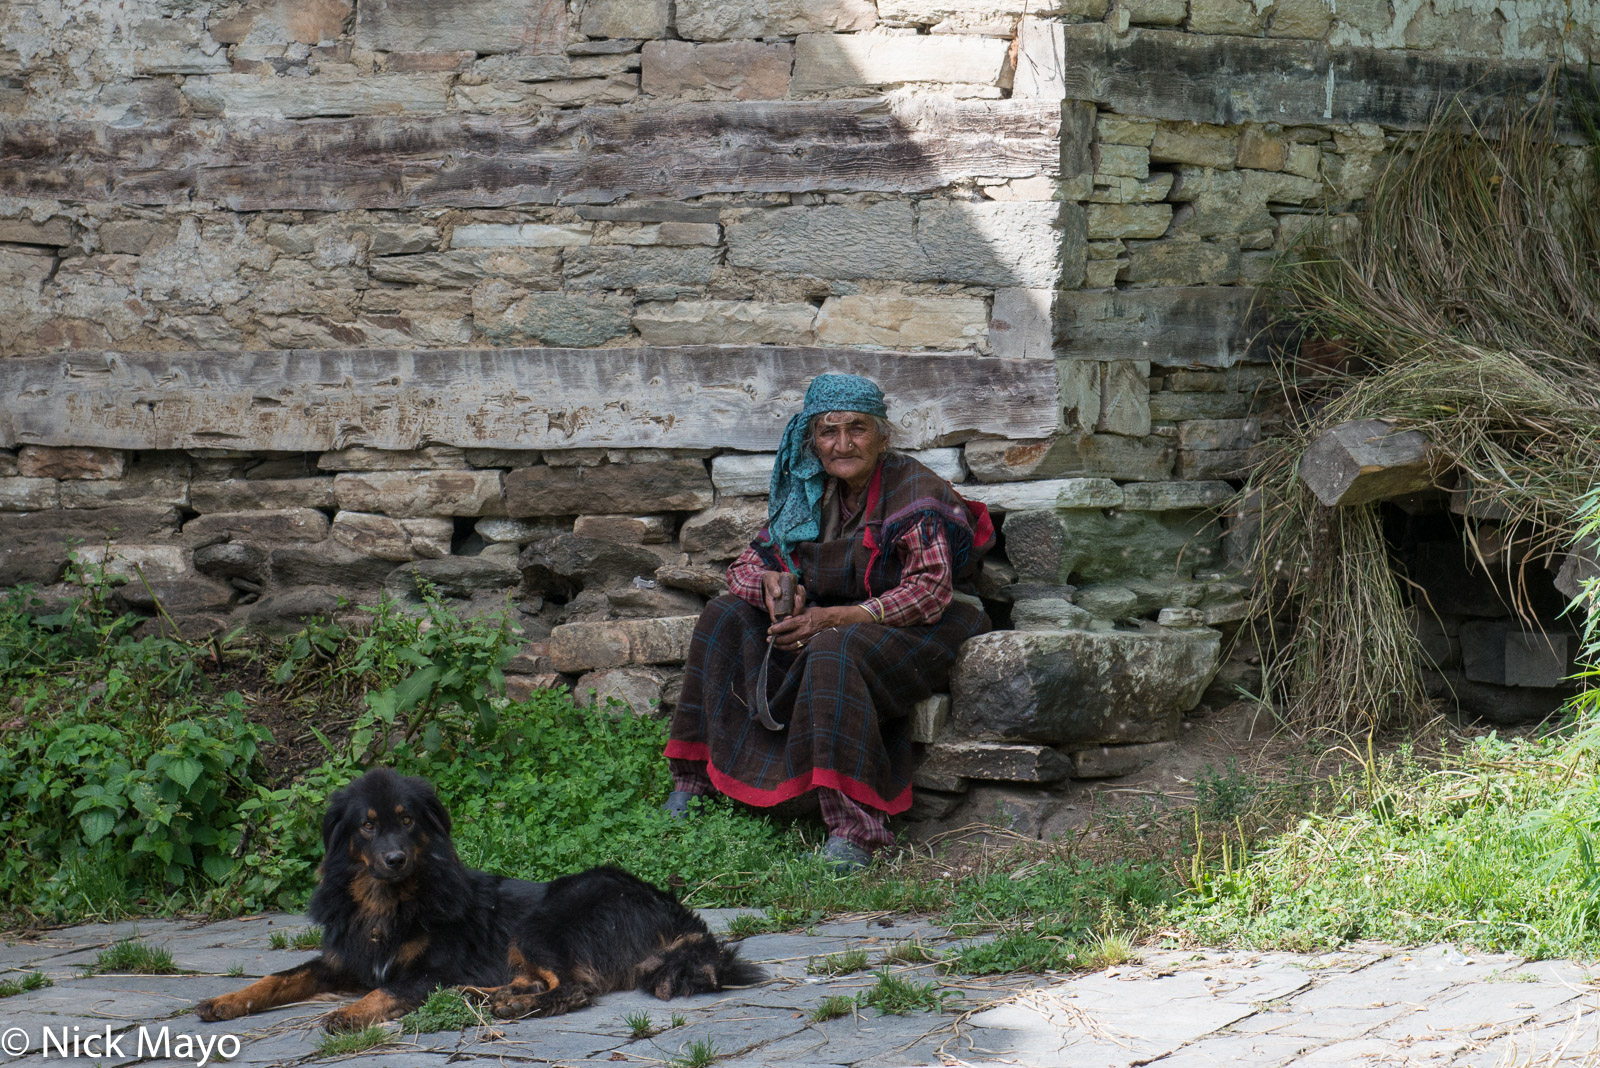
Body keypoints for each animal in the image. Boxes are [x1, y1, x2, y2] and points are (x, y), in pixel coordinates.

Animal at [195, 764, 761, 1029]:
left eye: (407, 821)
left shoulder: (430, 970)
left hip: (542, 921)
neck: (387, 902)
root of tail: (677, 914)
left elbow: (389, 989)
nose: (395, 858)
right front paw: (226, 1001)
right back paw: (486, 997)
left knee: (573, 988)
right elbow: (277, 978)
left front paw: (349, 1015)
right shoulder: (342, 960)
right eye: (367, 826)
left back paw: (504, 1004)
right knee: (543, 982)